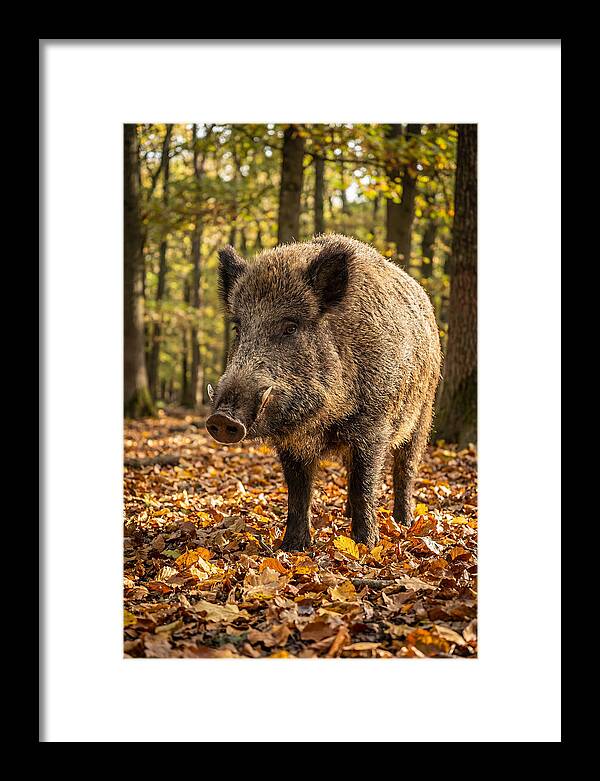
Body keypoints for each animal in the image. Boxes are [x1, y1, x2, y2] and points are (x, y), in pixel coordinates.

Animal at [206, 234, 441, 551]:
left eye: (290, 327)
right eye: (238, 328)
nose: (222, 418)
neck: (322, 420)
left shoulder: (374, 426)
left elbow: (364, 485)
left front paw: (366, 545)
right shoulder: (292, 443)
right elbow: (298, 492)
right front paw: (292, 547)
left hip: (423, 412)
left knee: (405, 469)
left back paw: (403, 522)